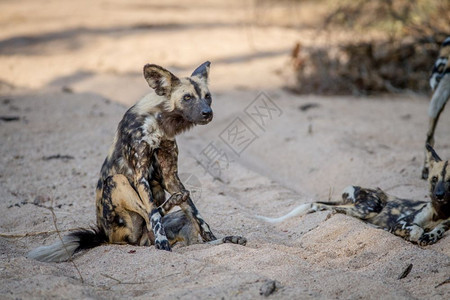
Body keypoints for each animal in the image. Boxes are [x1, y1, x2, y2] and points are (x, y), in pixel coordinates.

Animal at [28, 61, 246, 262]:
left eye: (207, 96)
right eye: (187, 98)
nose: (207, 113)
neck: (158, 124)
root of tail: (105, 236)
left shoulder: (171, 178)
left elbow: (199, 218)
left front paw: (215, 239)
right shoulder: (140, 176)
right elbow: (154, 214)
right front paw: (163, 246)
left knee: (179, 226)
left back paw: (226, 238)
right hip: (117, 182)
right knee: (150, 217)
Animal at [256, 145, 450, 246]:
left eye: (449, 180)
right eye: (434, 179)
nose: (439, 195)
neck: (440, 212)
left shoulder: (444, 226)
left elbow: (435, 232)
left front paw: (429, 234)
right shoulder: (401, 222)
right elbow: (416, 230)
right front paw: (410, 234)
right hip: (370, 207)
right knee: (325, 207)